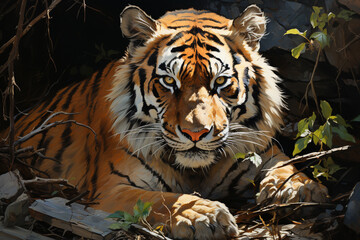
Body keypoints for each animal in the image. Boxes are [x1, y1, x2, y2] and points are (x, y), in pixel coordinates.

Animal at [2, 4, 330, 240]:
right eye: (169, 82)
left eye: (220, 81)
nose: (195, 133)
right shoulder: (111, 188)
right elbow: (160, 200)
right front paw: (201, 215)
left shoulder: (259, 148)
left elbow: (285, 163)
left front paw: (298, 189)